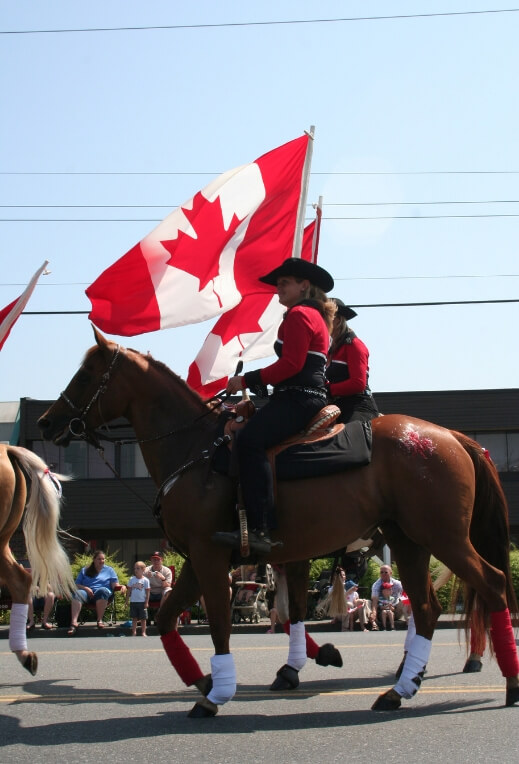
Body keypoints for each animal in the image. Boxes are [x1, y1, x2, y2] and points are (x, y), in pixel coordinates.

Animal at [37, 330, 519, 716]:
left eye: (85, 375)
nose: (46, 422)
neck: (195, 447)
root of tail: (451, 436)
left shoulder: (214, 557)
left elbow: (223, 623)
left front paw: (217, 693)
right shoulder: (213, 558)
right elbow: (173, 620)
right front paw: (216, 679)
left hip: (442, 537)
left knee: (490, 585)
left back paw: (502, 681)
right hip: (408, 541)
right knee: (427, 608)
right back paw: (401, 687)